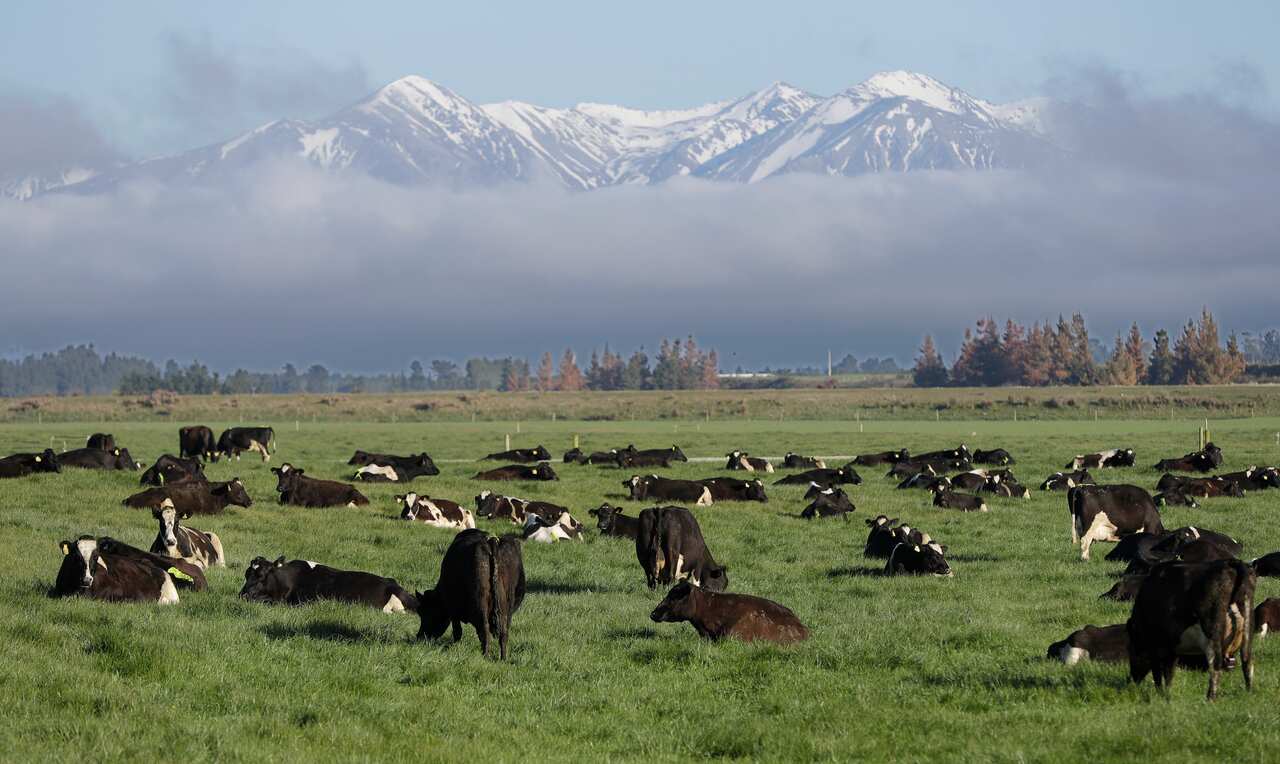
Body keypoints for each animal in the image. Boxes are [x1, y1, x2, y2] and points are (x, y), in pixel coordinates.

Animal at [416, 529, 525, 659]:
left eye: (425, 612)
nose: (419, 636)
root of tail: (491, 540)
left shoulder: (453, 610)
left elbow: (457, 631)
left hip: (481, 601)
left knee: (484, 630)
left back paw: (485, 656)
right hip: (506, 606)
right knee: (503, 633)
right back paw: (503, 658)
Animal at [1128, 559, 1255, 700]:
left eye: (1130, 650)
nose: (1133, 678)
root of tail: (1229, 563)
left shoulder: (1154, 646)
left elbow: (1158, 675)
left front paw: (1161, 695)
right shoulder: (1173, 648)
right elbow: (1169, 673)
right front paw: (1167, 695)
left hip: (1211, 630)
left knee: (1215, 664)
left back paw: (1210, 698)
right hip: (1247, 626)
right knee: (1247, 660)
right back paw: (1248, 692)